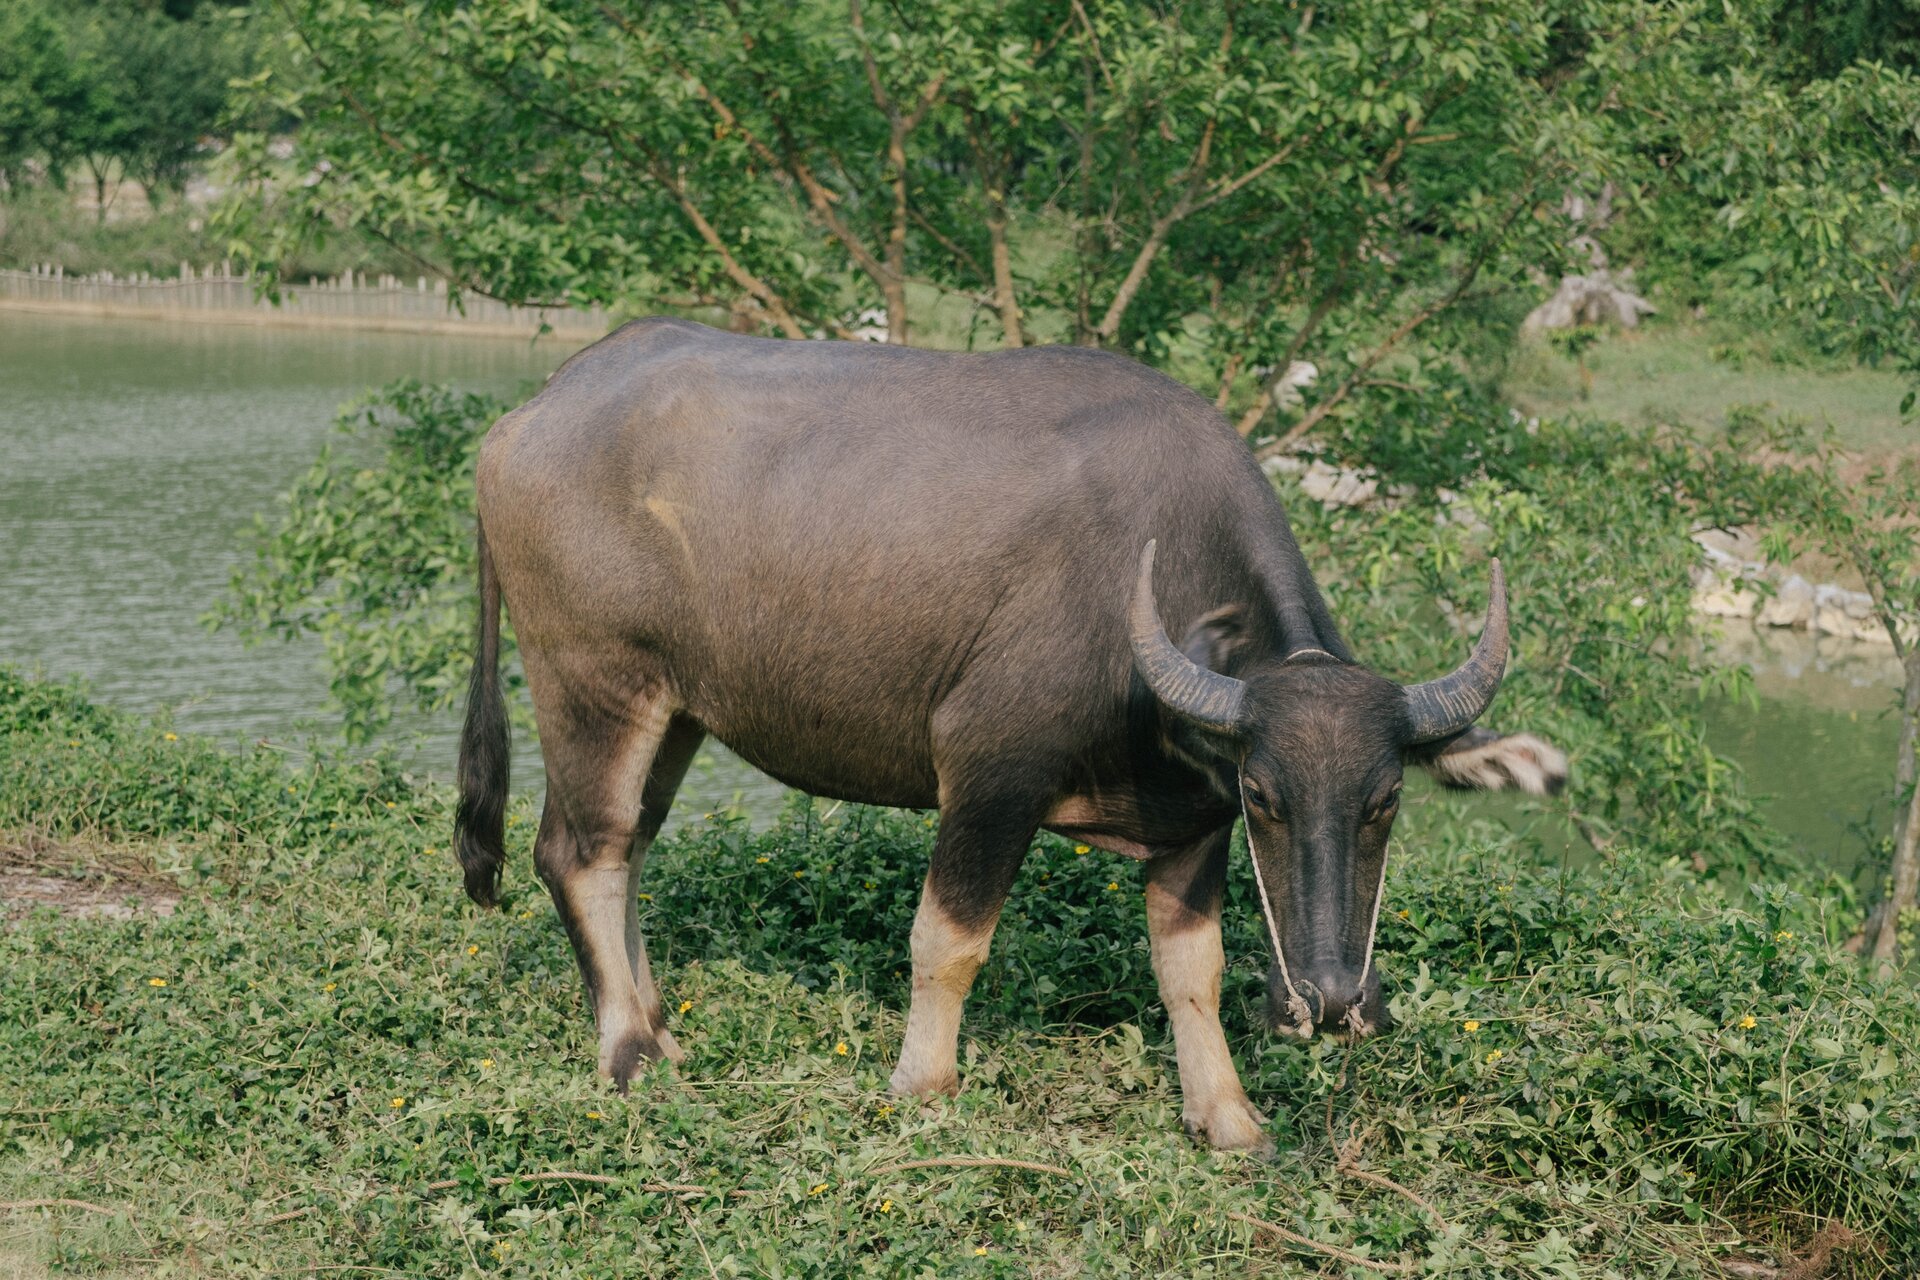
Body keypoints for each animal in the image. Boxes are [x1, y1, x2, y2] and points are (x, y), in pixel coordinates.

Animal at [456, 317, 1566, 1153]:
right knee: (582, 849)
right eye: (1265, 796)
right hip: (593, 680)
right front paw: (924, 1084)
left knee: (635, 846)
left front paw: (1228, 1116)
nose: (1334, 1002)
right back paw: (630, 1056)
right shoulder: (991, 770)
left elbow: (1191, 973)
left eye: (1386, 800)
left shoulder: (1190, 826)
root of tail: (528, 416)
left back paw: (661, 1028)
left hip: (680, 706)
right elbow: (948, 940)